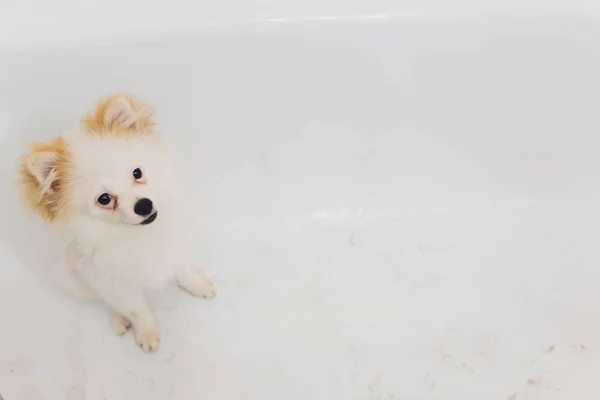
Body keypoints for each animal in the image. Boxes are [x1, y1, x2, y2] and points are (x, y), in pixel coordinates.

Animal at [17, 95, 216, 352]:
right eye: (104, 199)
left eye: (137, 173)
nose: (143, 205)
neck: (137, 235)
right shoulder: (116, 285)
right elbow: (137, 310)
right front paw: (147, 333)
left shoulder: (172, 247)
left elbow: (184, 270)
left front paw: (198, 285)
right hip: (74, 280)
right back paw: (120, 319)